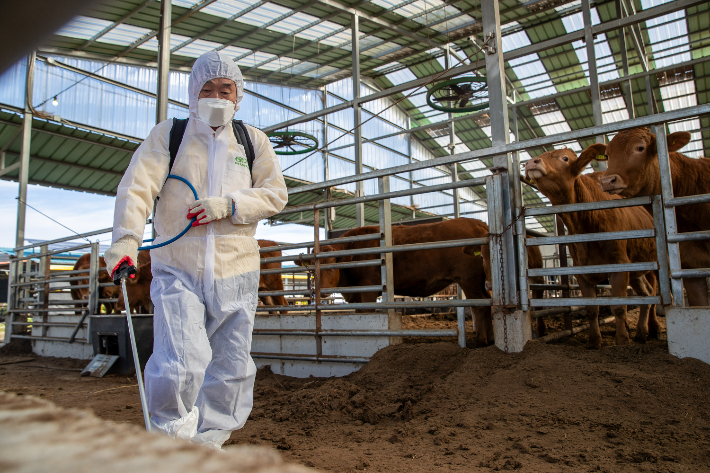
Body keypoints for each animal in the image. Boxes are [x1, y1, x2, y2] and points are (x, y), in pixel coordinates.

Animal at [524, 147, 664, 346]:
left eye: (565, 158)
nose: (530, 162)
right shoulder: (582, 272)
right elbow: (592, 309)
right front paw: (595, 341)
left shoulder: (619, 267)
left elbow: (619, 307)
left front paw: (622, 340)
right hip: (636, 272)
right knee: (647, 294)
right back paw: (640, 332)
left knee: (655, 295)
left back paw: (653, 329)